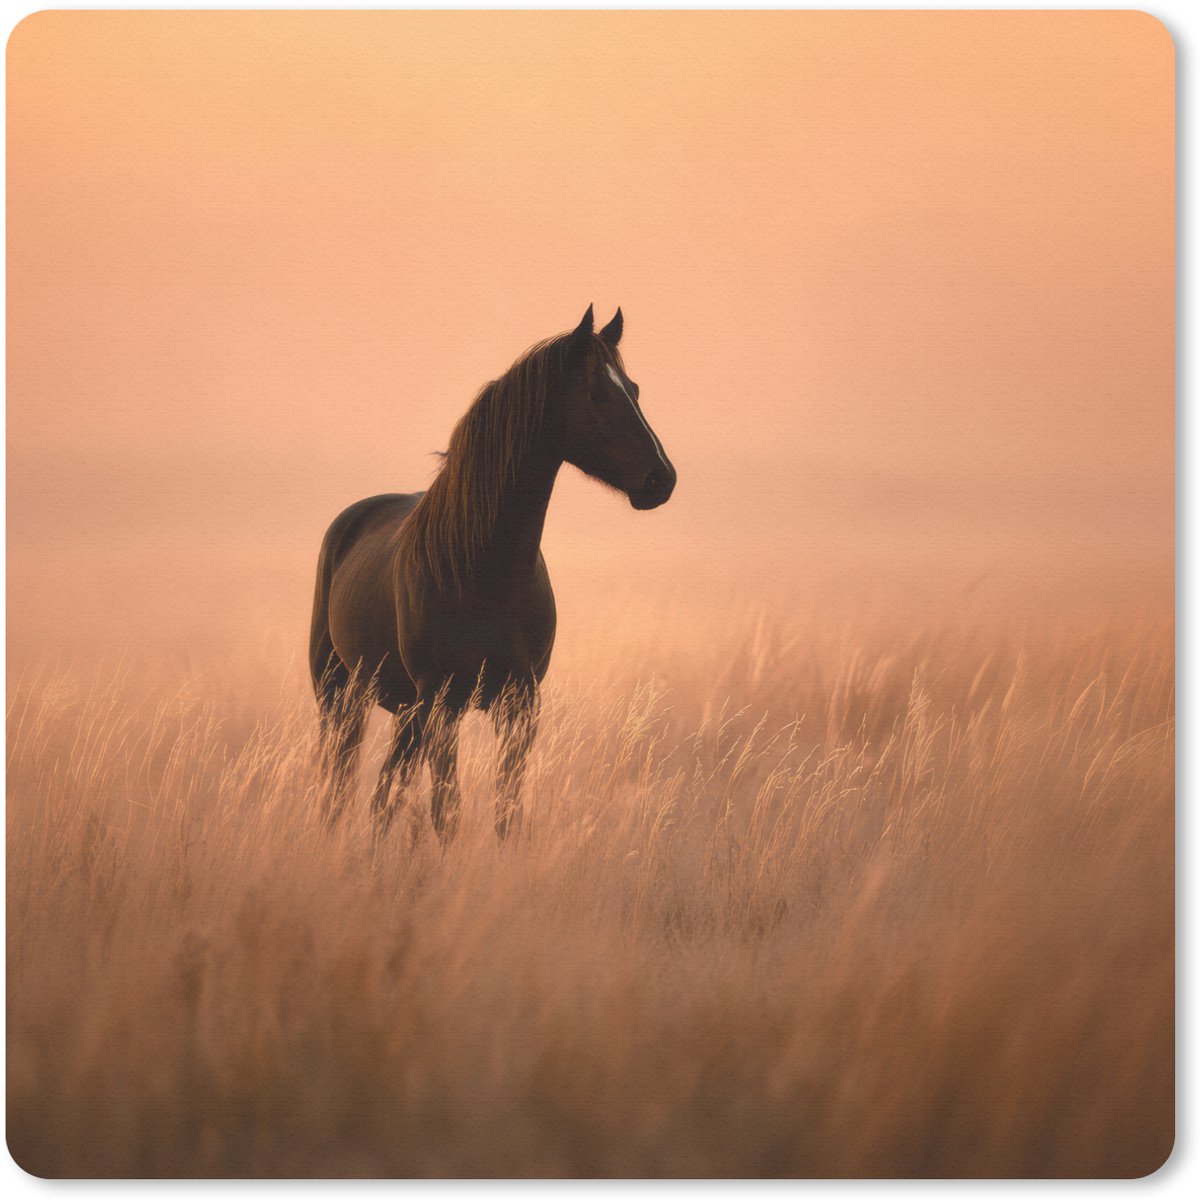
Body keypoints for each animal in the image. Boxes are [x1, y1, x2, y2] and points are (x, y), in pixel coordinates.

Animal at [308, 305, 676, 841]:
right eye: (597, 392)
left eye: (634, 388)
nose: (661, 479)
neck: (485, 570)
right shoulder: (442, 703)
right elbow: (447, 811)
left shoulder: (519, 703)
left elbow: (507, 811)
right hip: (342, 695)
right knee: (342, 789)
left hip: (403, 710)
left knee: (382, 795)